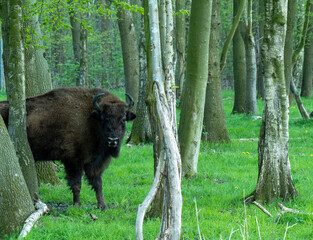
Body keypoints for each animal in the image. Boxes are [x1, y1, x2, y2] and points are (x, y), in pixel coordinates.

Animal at [0, 87, 136, 209]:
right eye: (103, 118)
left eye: (123, 119)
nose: (112, 140)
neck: (90, 118)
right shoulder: (73, 161)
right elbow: (76, 184)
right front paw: (77, 205)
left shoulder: (94, 162)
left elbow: (98, 184)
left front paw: (103, 206)